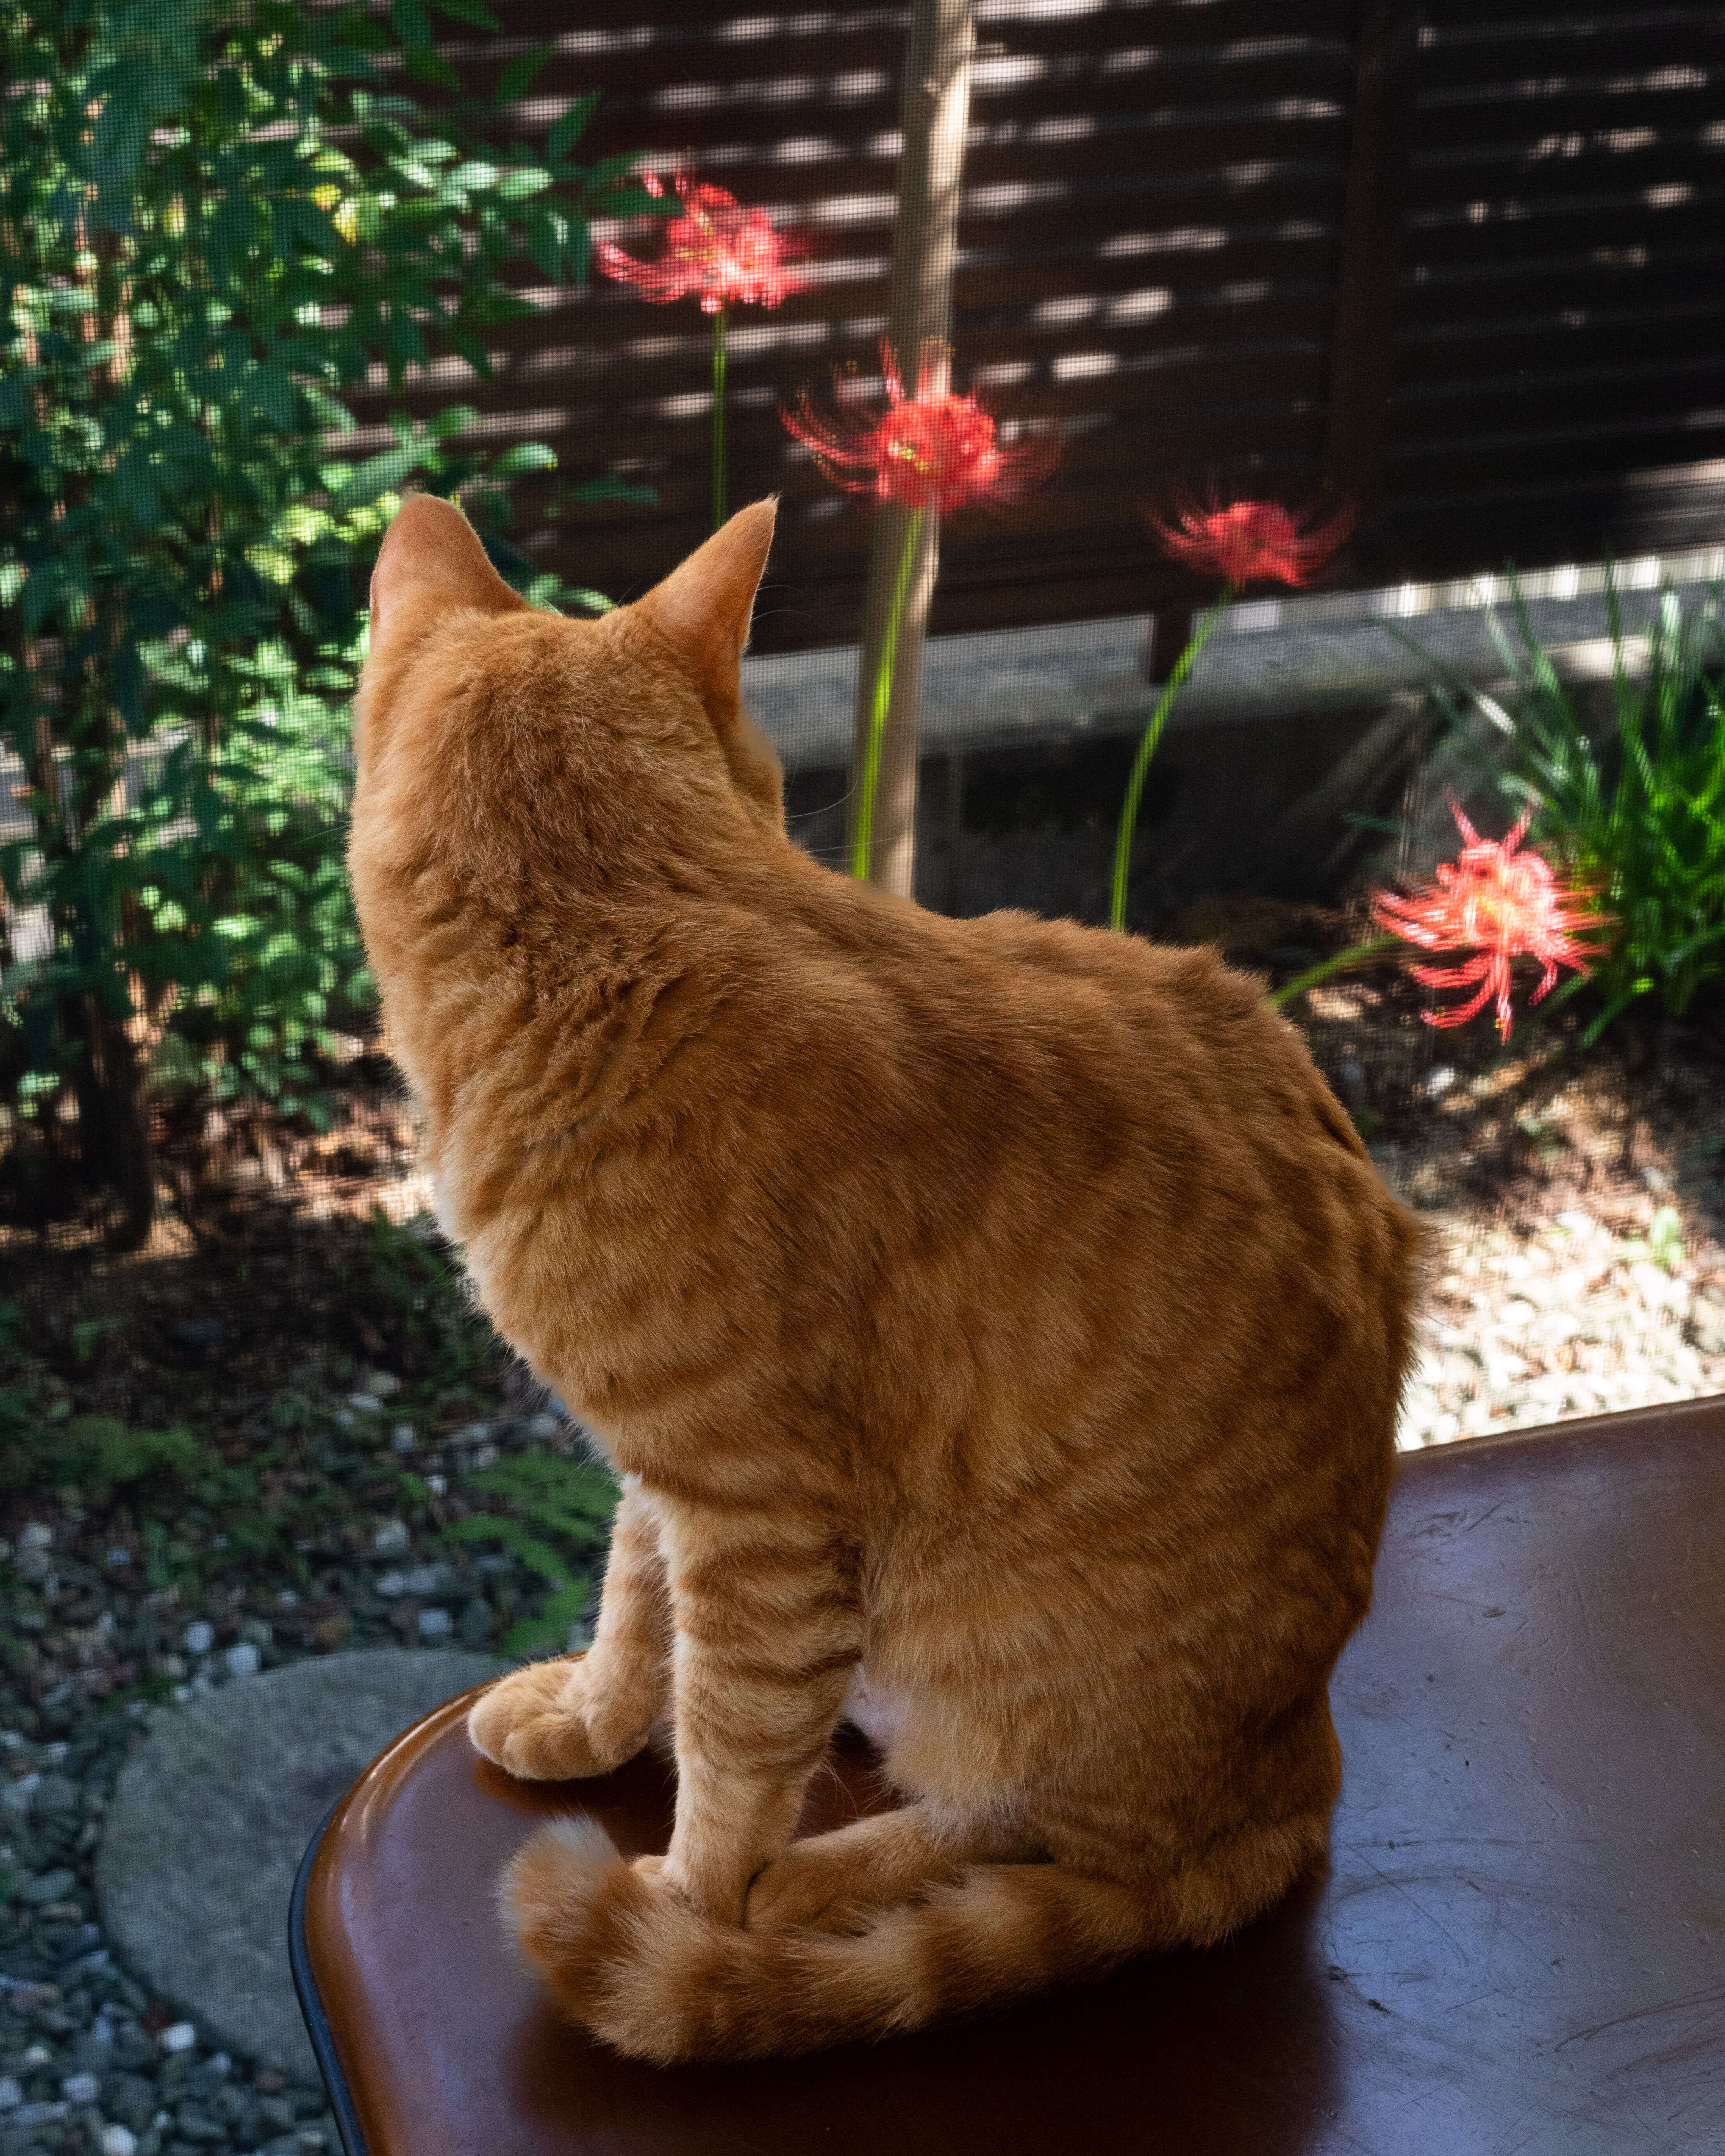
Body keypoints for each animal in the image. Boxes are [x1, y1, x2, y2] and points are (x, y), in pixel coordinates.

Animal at [347, 489, 1414, 2052]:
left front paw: (686, 1902)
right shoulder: (666, 1470)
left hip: (999, 1682)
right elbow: (633, 1600)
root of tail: (1309, 1768)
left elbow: (730, 1742)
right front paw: (595, 1717)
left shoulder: (761, 1524)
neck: (623, 934)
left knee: (1037, 1838)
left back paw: (812, 1884)